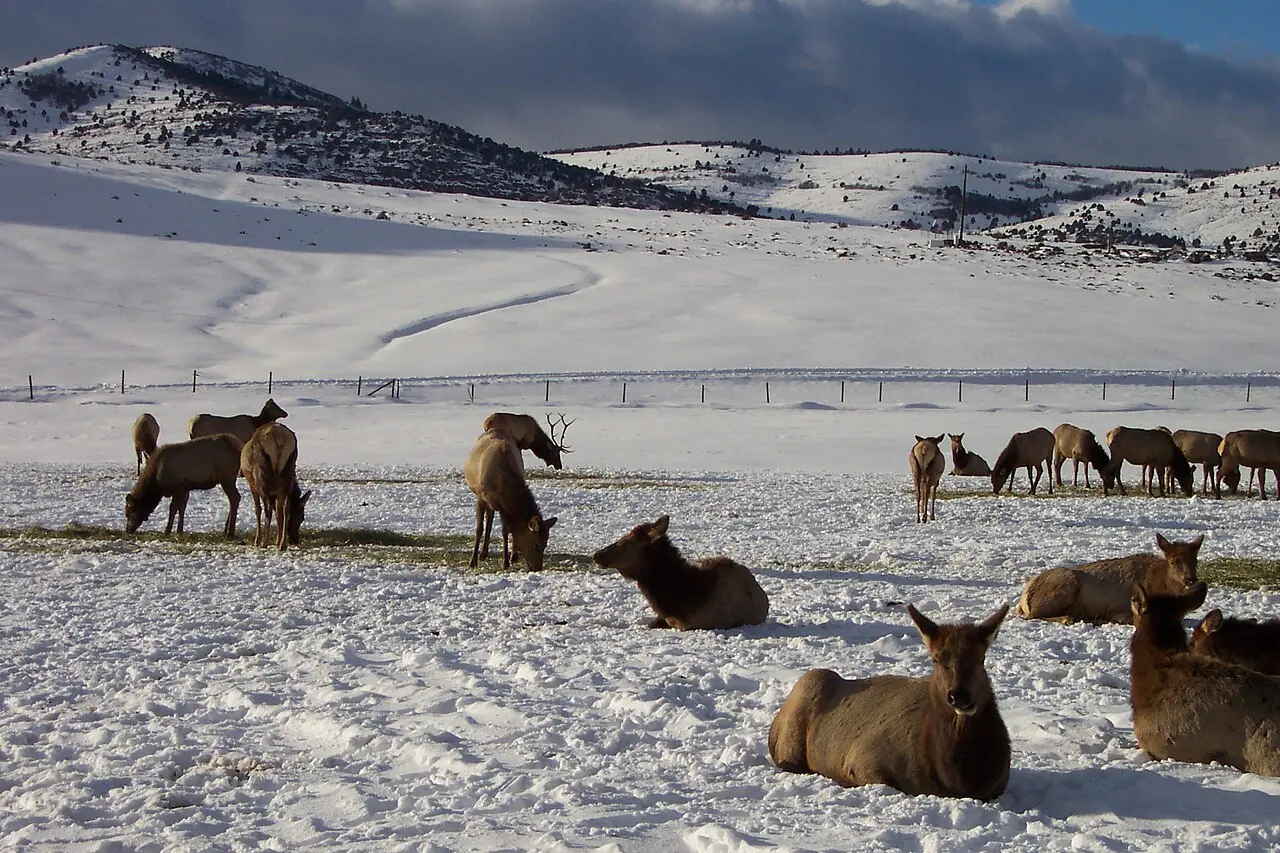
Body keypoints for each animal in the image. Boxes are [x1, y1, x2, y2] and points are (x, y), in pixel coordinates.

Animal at [240, 422, 311, 551]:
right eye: (302, 517)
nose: (294, 540)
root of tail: (279, 438)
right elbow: (279, 511)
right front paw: (278, 541)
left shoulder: (253, 487)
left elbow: (258, 510)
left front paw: (257, 541)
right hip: (289, 471)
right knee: (285, 508)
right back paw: (282, 544)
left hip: (262, 478)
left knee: (267, 510)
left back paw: (264, 543)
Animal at [464, 428, 556, 571]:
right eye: (536, 544)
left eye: (545, 544)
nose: (537, 568)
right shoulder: (481, 497)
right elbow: (479, 529)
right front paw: (473, 561)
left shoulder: (504, 507)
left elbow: (507, 531)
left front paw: (508, 560)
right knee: (488, 520)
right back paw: (482, 554)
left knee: (491, 519)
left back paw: (491, 553)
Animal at [1016, 533, 1204, 625]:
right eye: (1173, 562)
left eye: (1195, 560)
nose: (1190, 579)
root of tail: (1023, 599)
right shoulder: (1120, 607)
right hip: (1064, 585)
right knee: (1033, 615)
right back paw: (1068, 618)